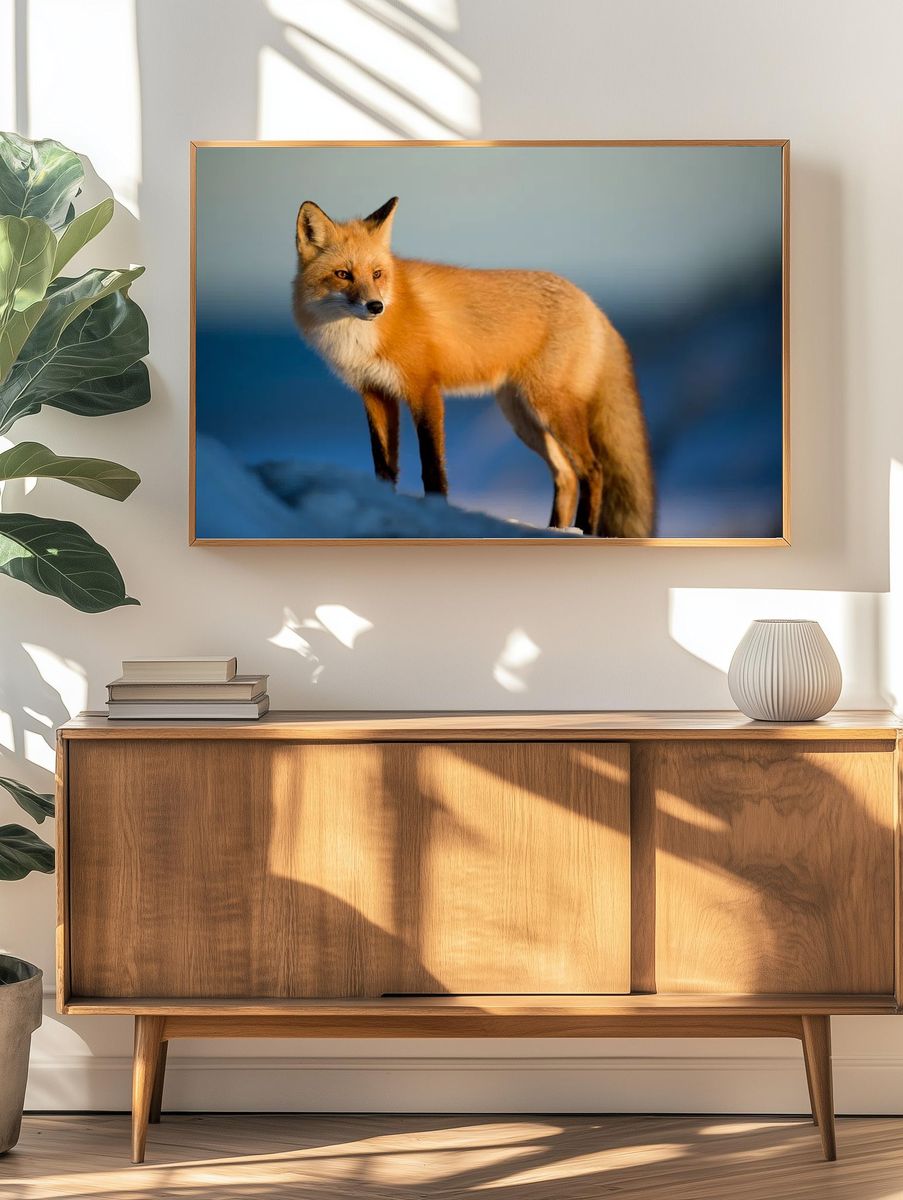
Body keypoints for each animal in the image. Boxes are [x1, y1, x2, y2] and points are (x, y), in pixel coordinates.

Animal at [292, 196, 655, 537]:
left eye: (377, 274)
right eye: (343, 274)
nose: (375, 306)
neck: (359, 337)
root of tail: (592, 304)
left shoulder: (424, 389)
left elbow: (432, 467)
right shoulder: (375, 393)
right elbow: (384, 466)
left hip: (550, 408)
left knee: (593, 470)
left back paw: (584, 530)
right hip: (522, 417)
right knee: (566, 475)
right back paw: (556, 530)